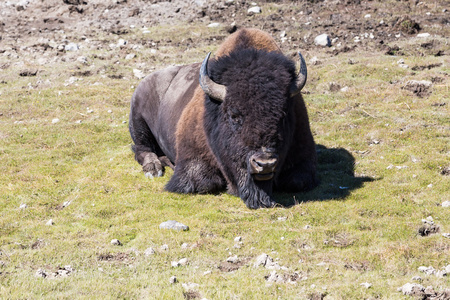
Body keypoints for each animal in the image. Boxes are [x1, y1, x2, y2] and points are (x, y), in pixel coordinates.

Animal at [128, 28, 318, 209]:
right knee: (142, 149)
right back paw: (154, 169)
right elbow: (204, 182)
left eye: (283, 114)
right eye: (234, 116)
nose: (265, 163)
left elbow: (296, 181)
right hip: (138, 124)